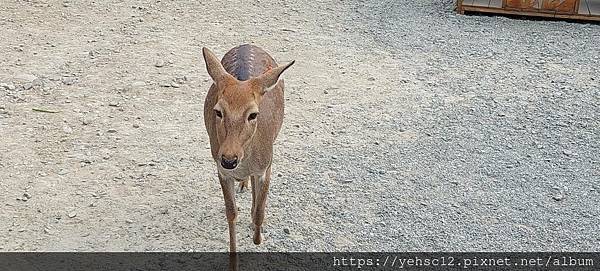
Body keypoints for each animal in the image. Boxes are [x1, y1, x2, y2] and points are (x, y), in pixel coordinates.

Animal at [203, 43, 294, 254]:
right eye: (218, 111)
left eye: (253, 114)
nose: (229, 159)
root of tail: (248, 44)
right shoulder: (221, 170)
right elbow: (231, 212)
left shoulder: (266, 165)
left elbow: (260, 209)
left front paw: (257, 237)